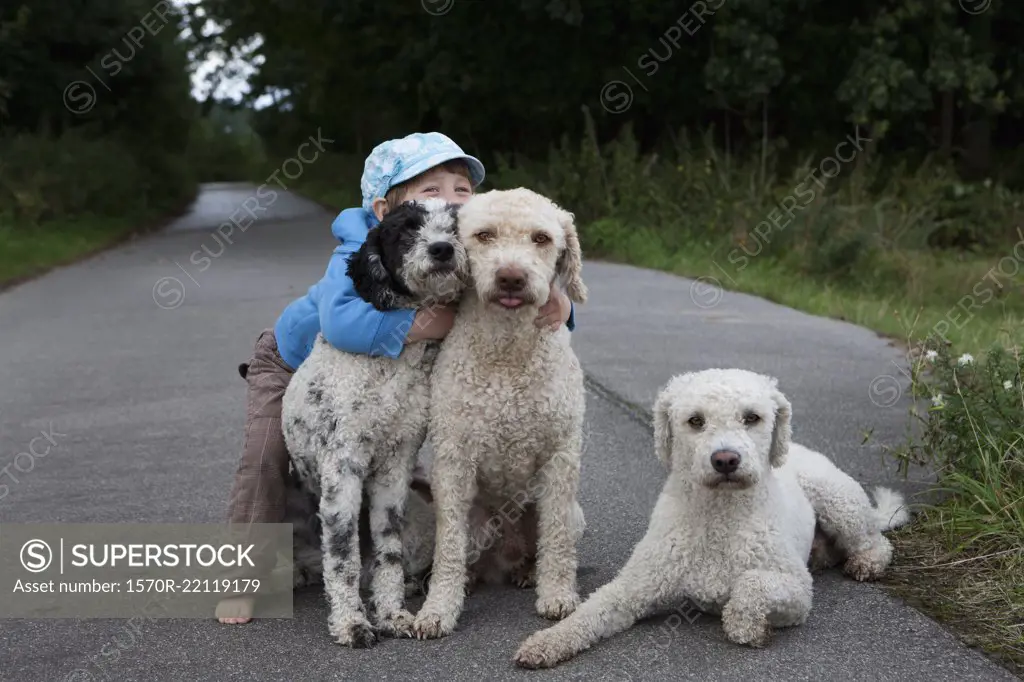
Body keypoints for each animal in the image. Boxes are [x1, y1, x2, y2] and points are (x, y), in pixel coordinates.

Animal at [284, 197, 468, 647]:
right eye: (406, 229)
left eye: (454, 225)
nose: (441, 249)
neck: (390, 372)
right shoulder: (342, 468)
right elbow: (343, 558)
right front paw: (352, 623)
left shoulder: (394, 466)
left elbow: (388, 551)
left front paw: (391, 616)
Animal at [413, 187, 593, 638]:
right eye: (484, 235)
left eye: (541, 239)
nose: (511, 276)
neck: (507, 354)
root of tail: (505, 553)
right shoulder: (453, 461)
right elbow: (449, 548)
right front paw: (438, 609)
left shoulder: (561, 457)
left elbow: (556, 541)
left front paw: (557, 595)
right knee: (466, 553)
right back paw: (471, 579)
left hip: (570, 513)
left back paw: (529, 571)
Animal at [516, 366, 909, 663]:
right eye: (695, 420)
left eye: (752, 417)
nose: (725, 460)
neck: (719, 516)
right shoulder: (632, 588)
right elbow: (588, 614)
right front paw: (547, 641)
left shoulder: (797, 591)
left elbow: (750, 587)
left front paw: (748, 628)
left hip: (836, 497)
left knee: (876, 542)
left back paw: (866, 562)